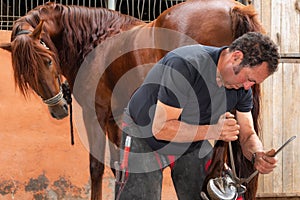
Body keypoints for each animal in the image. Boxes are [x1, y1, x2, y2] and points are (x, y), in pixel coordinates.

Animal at [0, 0, 264, 199]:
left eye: (47, 60)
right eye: (26, 75)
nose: (58, 110)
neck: (95, 42)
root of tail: (232, 8)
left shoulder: (95, 113)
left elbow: (96, 167)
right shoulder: (116, 117)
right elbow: (119, 166)